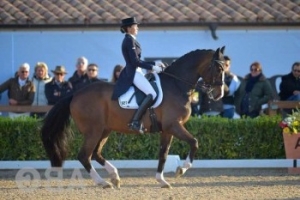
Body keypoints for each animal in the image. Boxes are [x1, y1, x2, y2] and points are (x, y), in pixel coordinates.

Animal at [41, 46, 225, 188]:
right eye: (219, 69)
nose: (219, 94)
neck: (177, 85)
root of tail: (75, 94)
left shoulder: (167, 130)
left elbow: (163, 153)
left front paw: (161, 180)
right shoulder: (174, 125)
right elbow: (194, 142)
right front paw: (182, 169)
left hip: (105, 130)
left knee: (95, 154)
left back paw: (114, 177)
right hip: (94, 130)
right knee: (84, 155)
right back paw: (103, 182)